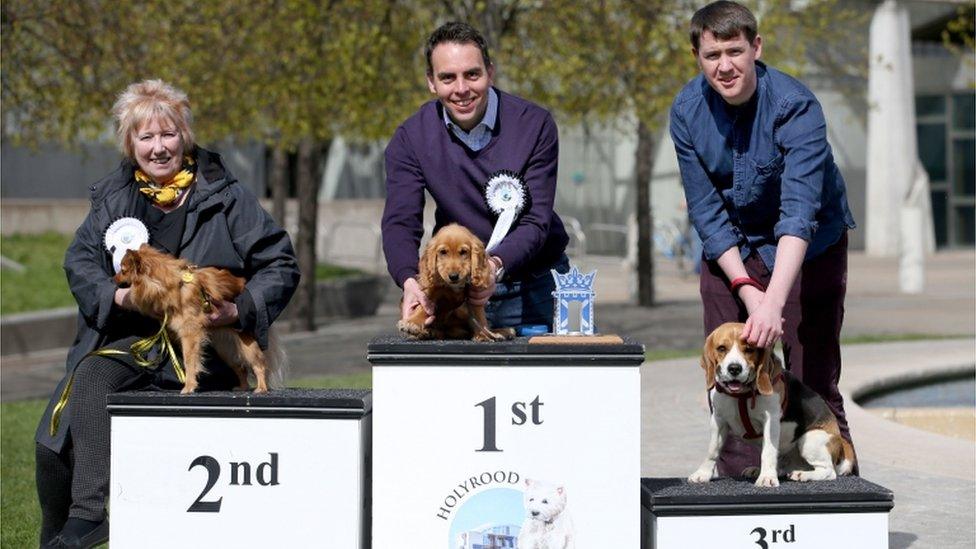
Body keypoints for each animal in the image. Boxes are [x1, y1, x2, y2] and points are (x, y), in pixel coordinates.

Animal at [116, 245, 282, 394]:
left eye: (123, 271)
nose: (113, 278)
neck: (172, 284)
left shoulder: (190, 334)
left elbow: (190, 362)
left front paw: (189, 387)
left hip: (247, 345)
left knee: (259, 364)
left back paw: (261, 388)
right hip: (225, 349)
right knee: (241, 368)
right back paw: (243, 387)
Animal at [688, 324, 856, 486]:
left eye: (749, 349)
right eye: (721, 348)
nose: (734, 368)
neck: (741, 395)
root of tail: (841, 442)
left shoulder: (771, 421)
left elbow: (768, 451)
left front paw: (767, 478)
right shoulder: (718, 420)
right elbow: (712, 451)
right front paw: (702, 474)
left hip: (810, 438)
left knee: (829, 471)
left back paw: (802, 475)